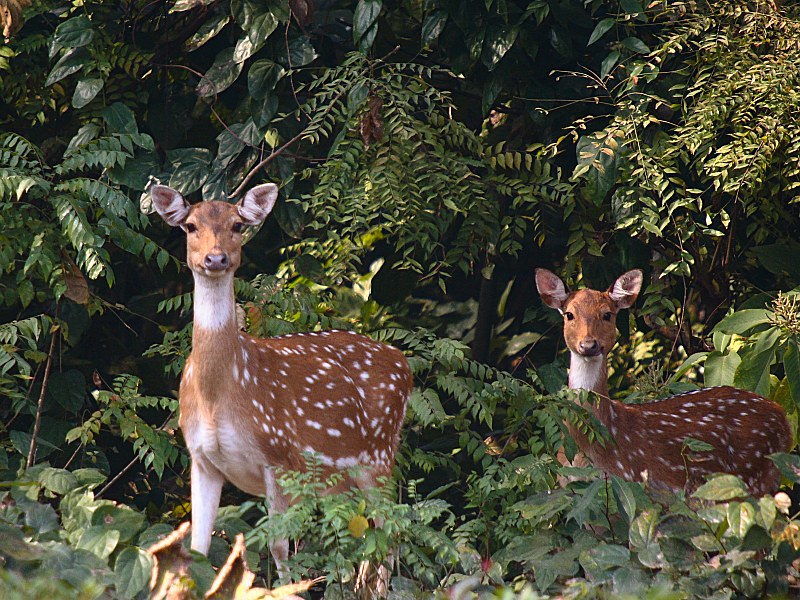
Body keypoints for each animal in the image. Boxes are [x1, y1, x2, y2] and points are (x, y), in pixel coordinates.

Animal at [151, 184, 412, 576]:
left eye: (238, 225)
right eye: (191, 226)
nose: (216, 259)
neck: (217, 394)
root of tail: (405, 364)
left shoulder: (279, 457)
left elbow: (279, 547)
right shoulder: (201, 459)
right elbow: (198, 548)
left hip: (379, 452)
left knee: (390, 531)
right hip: (340, 480)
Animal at [536, 270, 792, 494]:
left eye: (607, 314)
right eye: (569, 314)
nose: (588, 345)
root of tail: (784, 419)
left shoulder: (636, 485)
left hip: (752, 473)